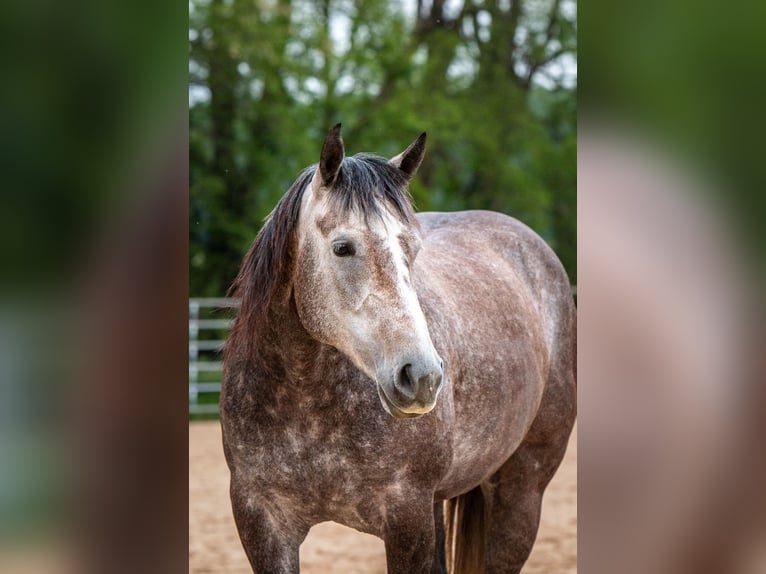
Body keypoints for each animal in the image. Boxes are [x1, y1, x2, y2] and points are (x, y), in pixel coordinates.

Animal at [220, 124, 576, 574]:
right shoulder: (260, 521)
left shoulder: (407, 517)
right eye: (342, 247)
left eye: (412, 250)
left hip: (520, 494)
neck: (305, 401)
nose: (422, 377)